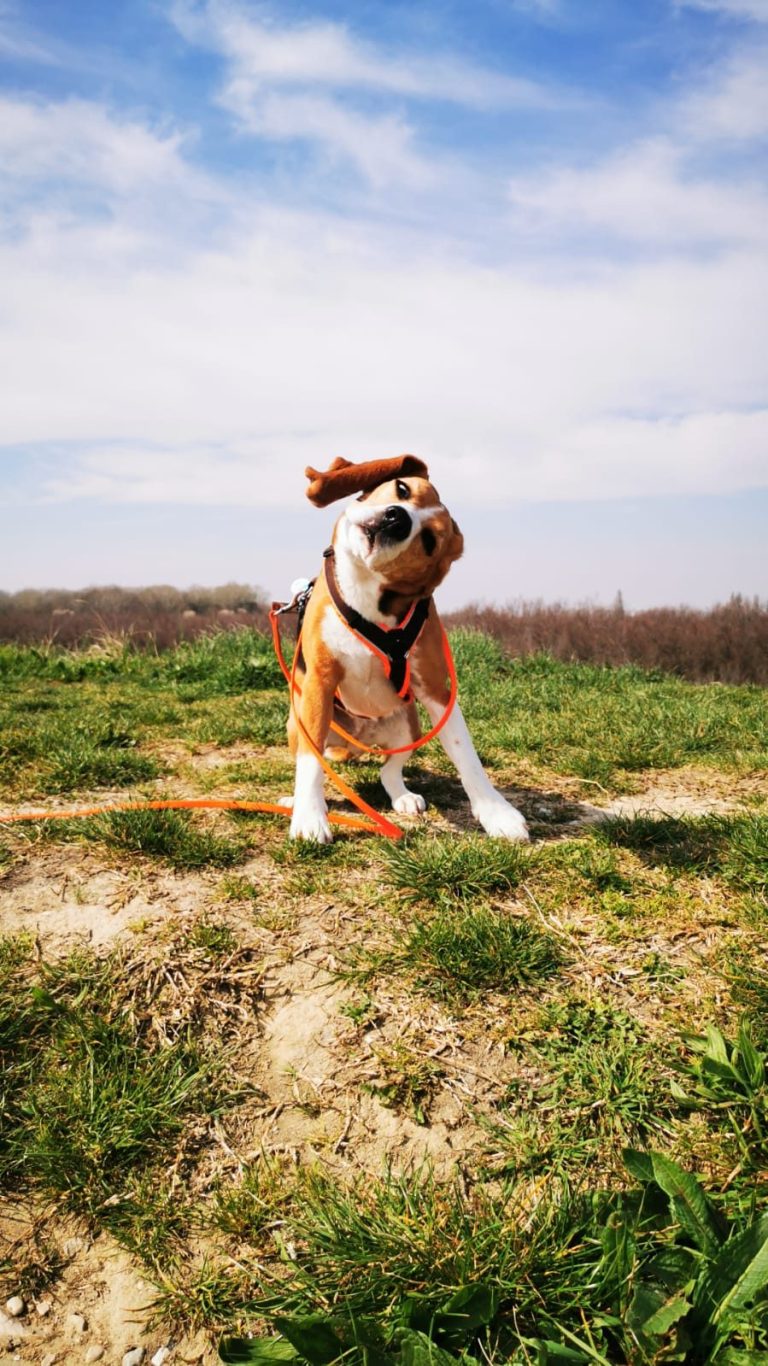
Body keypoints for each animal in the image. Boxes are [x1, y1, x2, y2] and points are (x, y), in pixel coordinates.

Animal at [281, 456, 524, 841]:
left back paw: (403, 796)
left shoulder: (437, 691)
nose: (398, 518)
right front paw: (308, 815)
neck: (366, 593)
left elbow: (466, 754)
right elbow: (310, 761)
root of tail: (357, 742)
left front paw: (496, 813)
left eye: (428, 540)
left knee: (389, 769)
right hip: (298, 719)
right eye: (402, 488)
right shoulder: (319, 682)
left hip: (409, 726)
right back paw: (298, 800)